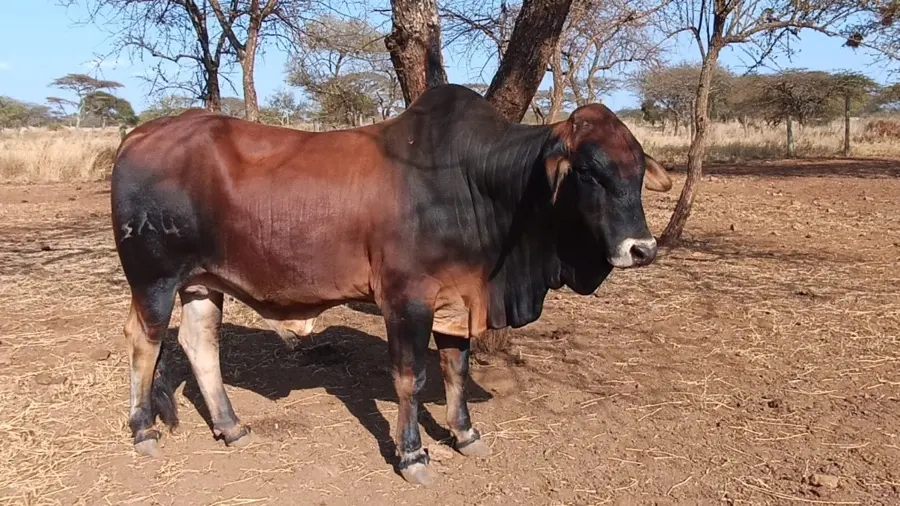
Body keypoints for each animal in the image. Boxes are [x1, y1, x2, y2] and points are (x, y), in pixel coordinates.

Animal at [110, 84, 672, 485]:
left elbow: (455, 369)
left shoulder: (456, 300)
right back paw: (144, 430)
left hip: (203, 282)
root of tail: (139, 134)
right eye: (588, 172)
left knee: (199, 342)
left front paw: (466, 433)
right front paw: (413, 454)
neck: (476, 183)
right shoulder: (406, 299)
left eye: (638, 170)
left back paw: (231, 427)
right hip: (154, 279)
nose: (641, 249)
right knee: (144, 341)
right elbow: (411, 379)